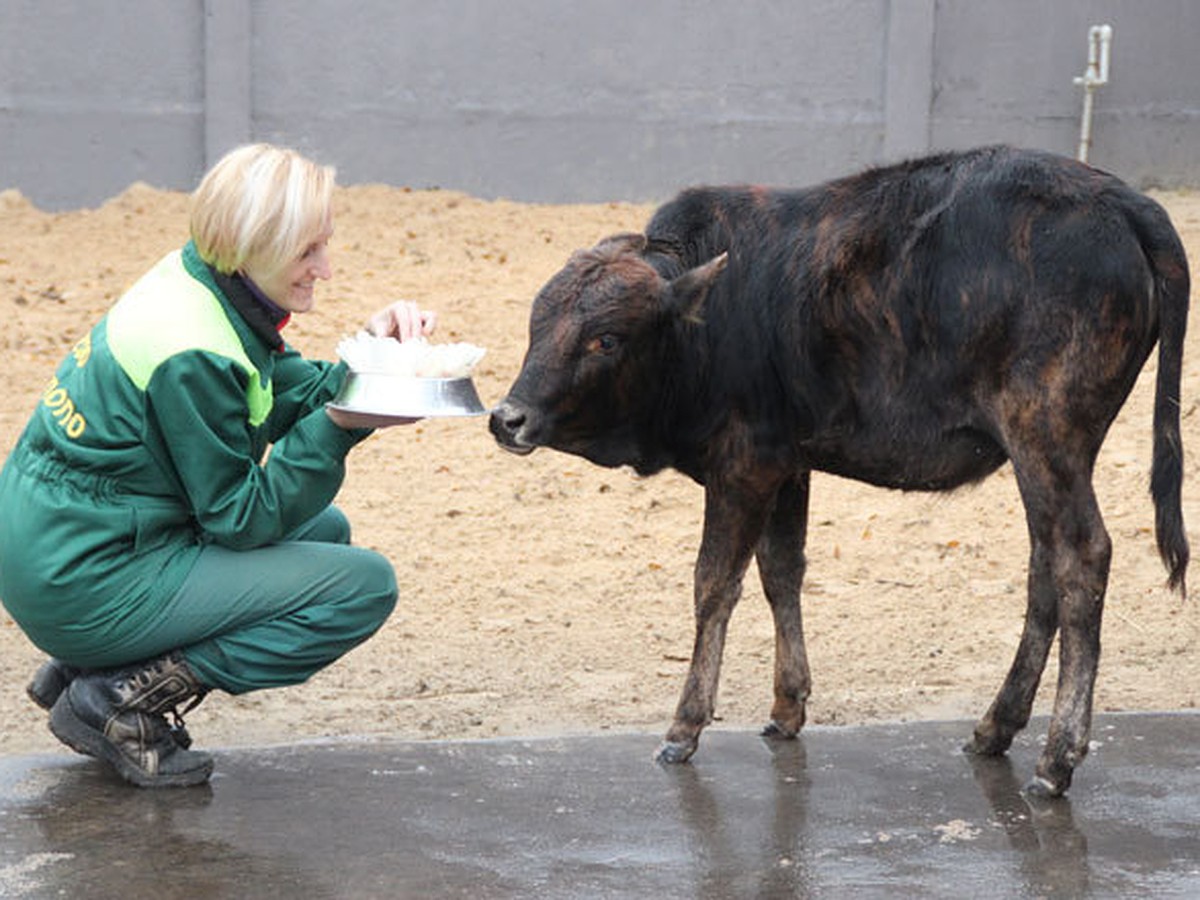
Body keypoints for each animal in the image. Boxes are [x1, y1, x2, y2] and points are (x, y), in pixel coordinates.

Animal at [489, 144, 1190, 801]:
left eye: (605, 338)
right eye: (537, 324)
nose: (506, 418)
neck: (711, 320)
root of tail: (1124, 202)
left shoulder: (741, 466)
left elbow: (714, 585)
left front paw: (684, 726)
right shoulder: (786, 464)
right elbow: (781, 572)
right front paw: (786, 705)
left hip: (1046, 436)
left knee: (1080, 558)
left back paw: (1056, 757)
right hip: (1045, 455)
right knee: (1045, 566)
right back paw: (996, 726)